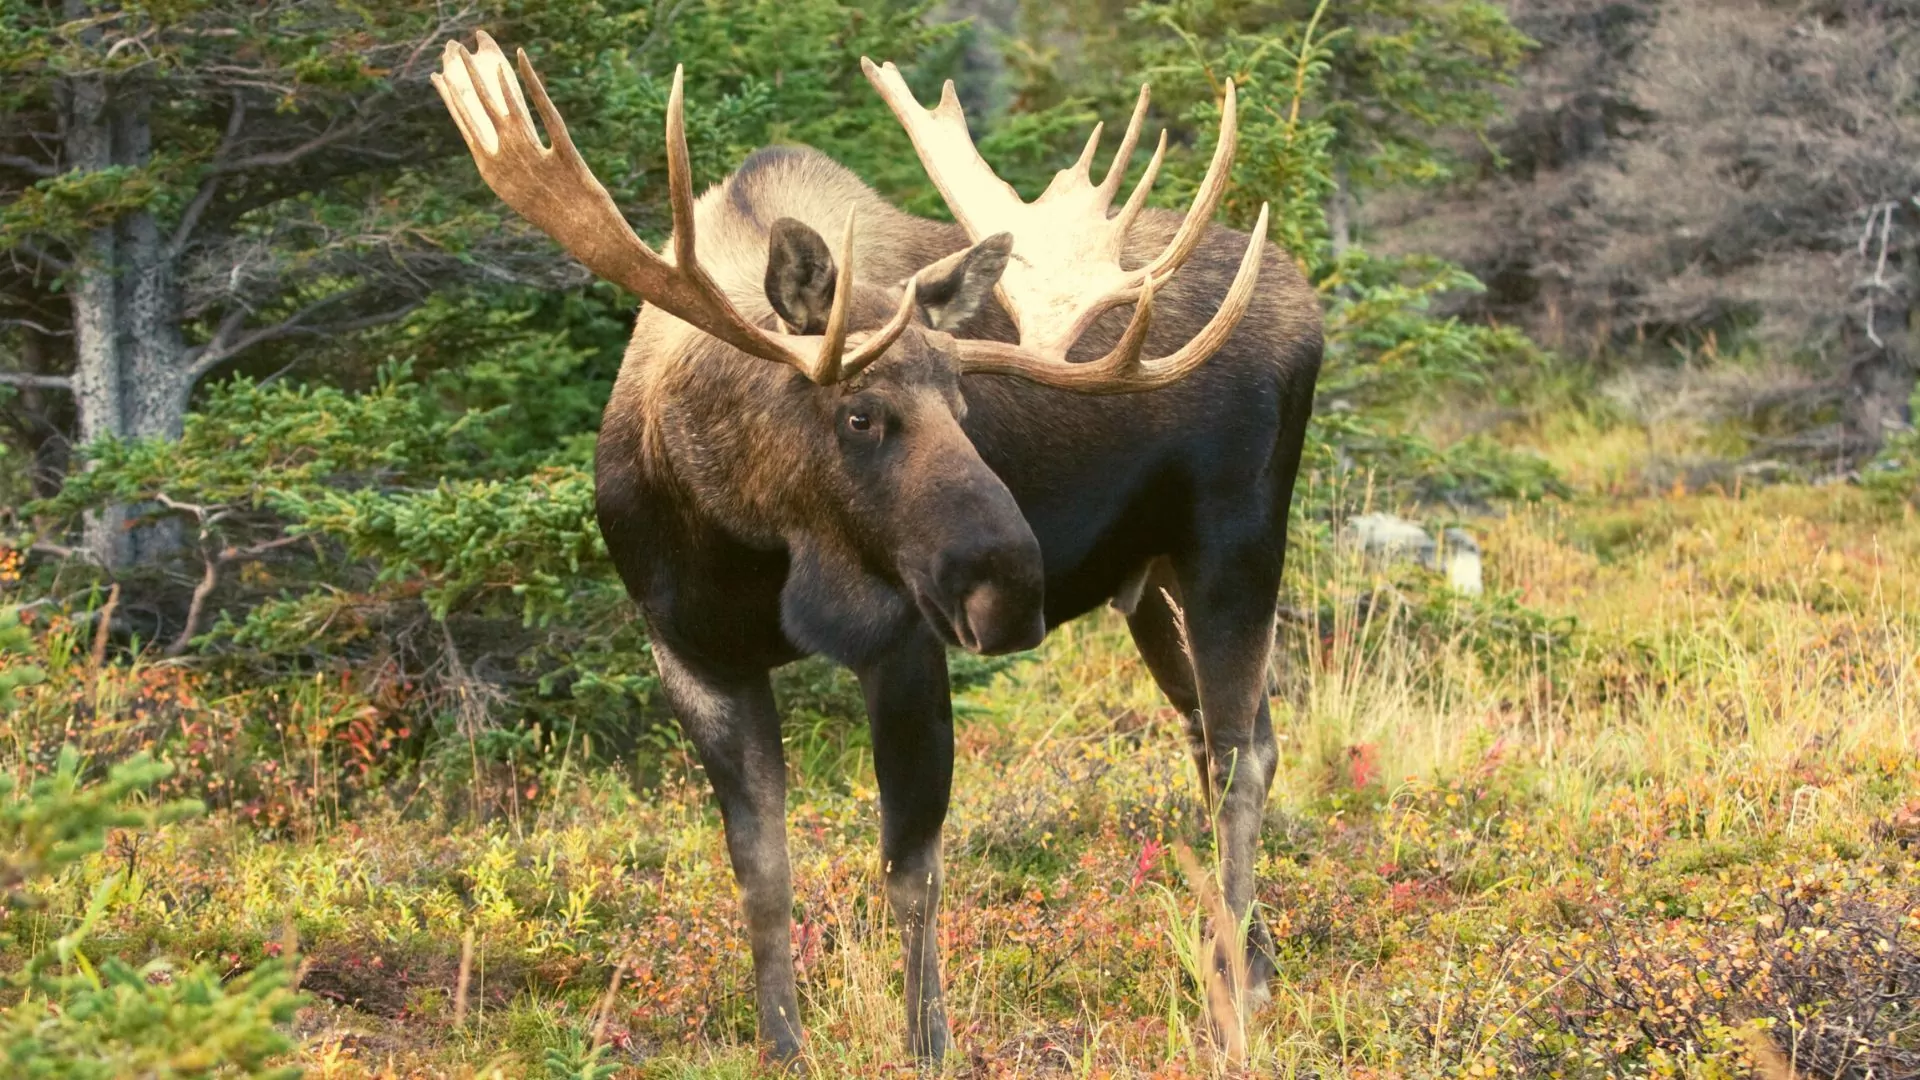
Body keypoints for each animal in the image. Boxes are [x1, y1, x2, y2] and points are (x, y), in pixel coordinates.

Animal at [432, 31, 1320, 1060]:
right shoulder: (691, 654)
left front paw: (928, 1043)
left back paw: (1229, 1000)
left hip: (1237, 544)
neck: (745, 542)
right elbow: (761, 872)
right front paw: (782, 1044)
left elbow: (910, 868)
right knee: (1227, 737)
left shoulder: (902, 640)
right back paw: (1253, 965)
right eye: (859, 413)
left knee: (1237, 760)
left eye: (964, 405)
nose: (1013, 587)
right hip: (1154, 582)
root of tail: (1304, 296)